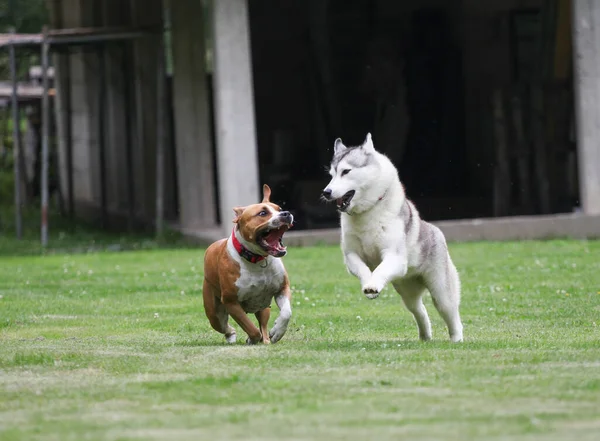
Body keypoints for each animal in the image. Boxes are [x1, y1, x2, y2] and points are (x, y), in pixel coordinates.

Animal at [203, 184, 294, 342]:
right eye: (262, 213)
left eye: (279, 209)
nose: (286, 214)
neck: (258, 260)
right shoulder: (231, 302)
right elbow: (251, 328)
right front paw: (252, 339)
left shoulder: (282, 289)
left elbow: (286, 312)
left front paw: (277, 332)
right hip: (214, 313)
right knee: (225, 326)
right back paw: (233, 336)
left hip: (263, 309)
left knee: (263, 326)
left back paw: (267, 339)